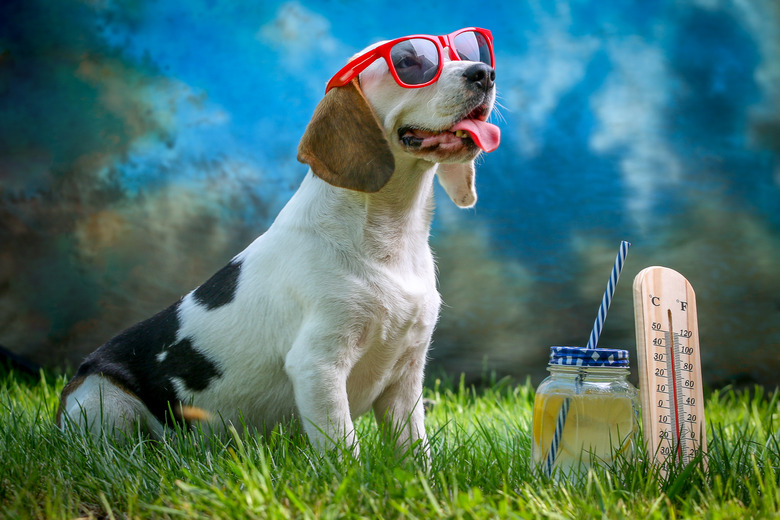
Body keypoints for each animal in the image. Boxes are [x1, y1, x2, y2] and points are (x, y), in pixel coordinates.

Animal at [58, 28, 502, 460]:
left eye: (468, 51)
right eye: (411, 62)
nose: (484, 73)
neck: (390, 231)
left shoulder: (406, 374)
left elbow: (414, 453)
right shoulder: (318, 365)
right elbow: (345, 450)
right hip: (104, 400)